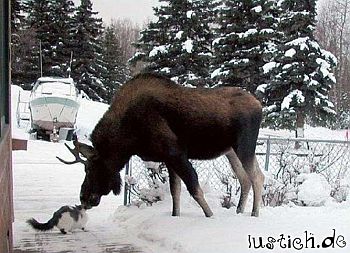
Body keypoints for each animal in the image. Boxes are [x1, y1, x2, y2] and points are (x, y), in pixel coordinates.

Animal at [58, 73, 264, 217]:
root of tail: (259, 105)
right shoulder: (169, 159)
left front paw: (211, 216)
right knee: (245, 179)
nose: (83, 198)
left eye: (90, 169)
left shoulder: (176, 153)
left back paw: (254, 214)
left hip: (244, 146)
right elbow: (175, 193)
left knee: (257, 177)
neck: (128, 139)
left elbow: (194, 189)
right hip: (231, 151)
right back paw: (239, 211)